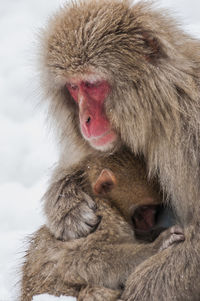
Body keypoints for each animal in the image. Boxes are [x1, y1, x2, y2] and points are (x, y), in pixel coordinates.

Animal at [39, 0, 200, 300]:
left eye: (92, 84)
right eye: (73, 87)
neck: (165, 104)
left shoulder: (191, 136)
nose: (85, 119)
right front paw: (68, 206)